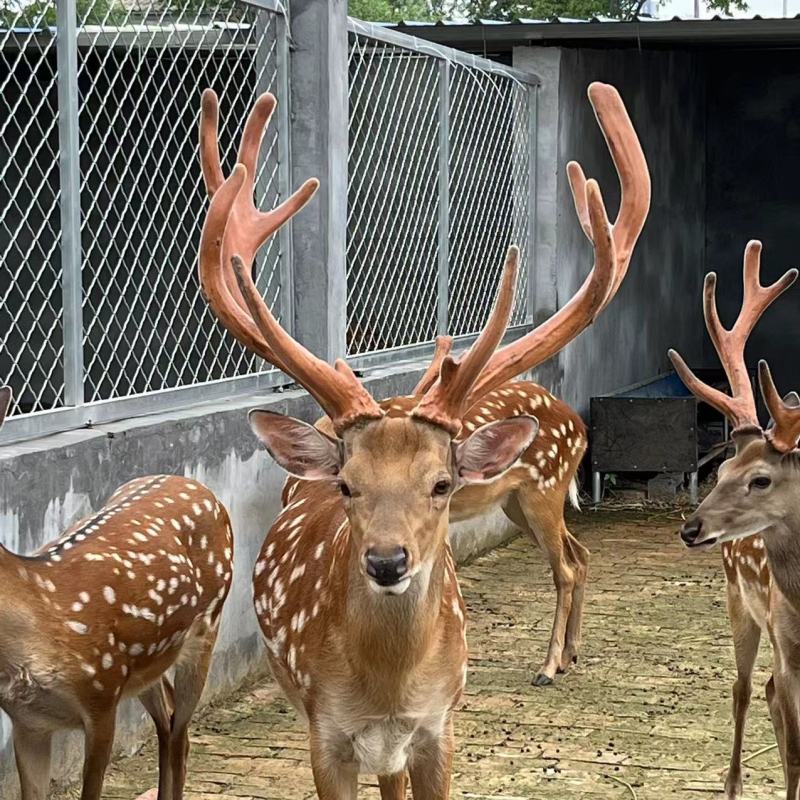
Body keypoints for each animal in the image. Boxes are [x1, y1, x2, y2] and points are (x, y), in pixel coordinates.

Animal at [0, 385, 233, 800]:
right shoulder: (27, 720)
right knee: (168, 717)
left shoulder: (101, 696)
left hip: (207, 627)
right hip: (145, 663)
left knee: (180, 731)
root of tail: (202, 488)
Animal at [197, 80, 650, 690]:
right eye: (345, 484)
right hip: (519, 500)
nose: (387, 561)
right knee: (580, 554)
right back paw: (571, 652)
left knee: (567, 564)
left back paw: (550, 664)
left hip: (544, 488)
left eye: (441, 483)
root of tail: (576, 422)